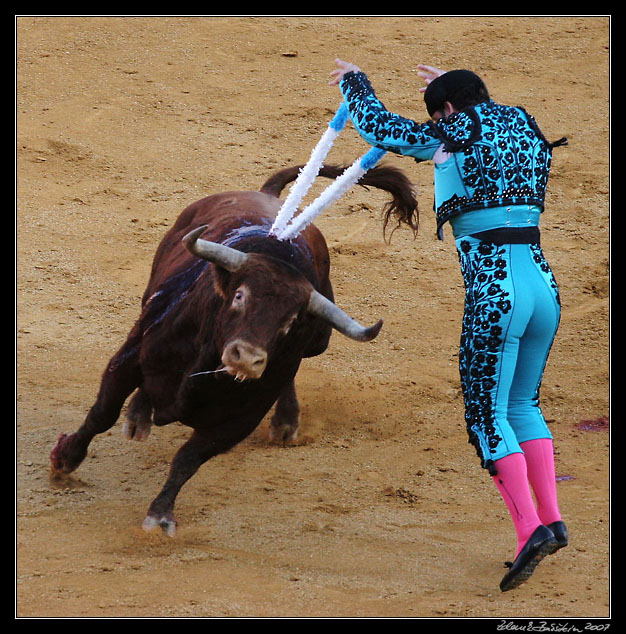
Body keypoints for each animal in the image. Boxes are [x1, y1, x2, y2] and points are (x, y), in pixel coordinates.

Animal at [50, 160, 420, 532]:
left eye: (291, 320)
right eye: (240, 296)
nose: (247, 358)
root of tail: (267, 196)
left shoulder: (240, 420)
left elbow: (189, 459)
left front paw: (161, 514)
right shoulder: (128, 361)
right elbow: (102, 413)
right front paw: (64, 460)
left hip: (318, 342)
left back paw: (285, 422)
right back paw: (139, 414)